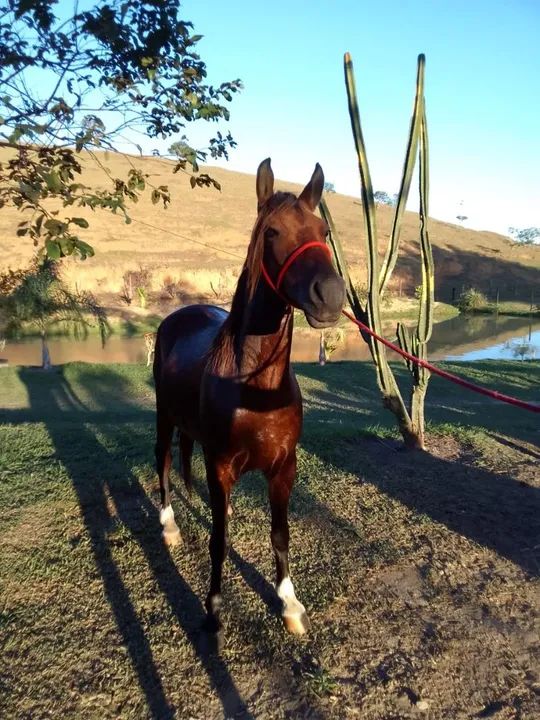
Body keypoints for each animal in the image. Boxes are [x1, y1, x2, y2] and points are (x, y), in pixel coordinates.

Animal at [153, 158, 345, 638]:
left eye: (323, 230)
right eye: (272, 231)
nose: (330, 296)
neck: (257, 388)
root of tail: (178, 315)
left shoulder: (283, 468)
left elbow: (280, 534)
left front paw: (289, 603)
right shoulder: (220, 467)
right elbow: (218, 541)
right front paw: (214, 609)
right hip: (164, 417)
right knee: (162, 461)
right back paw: (169, 526)